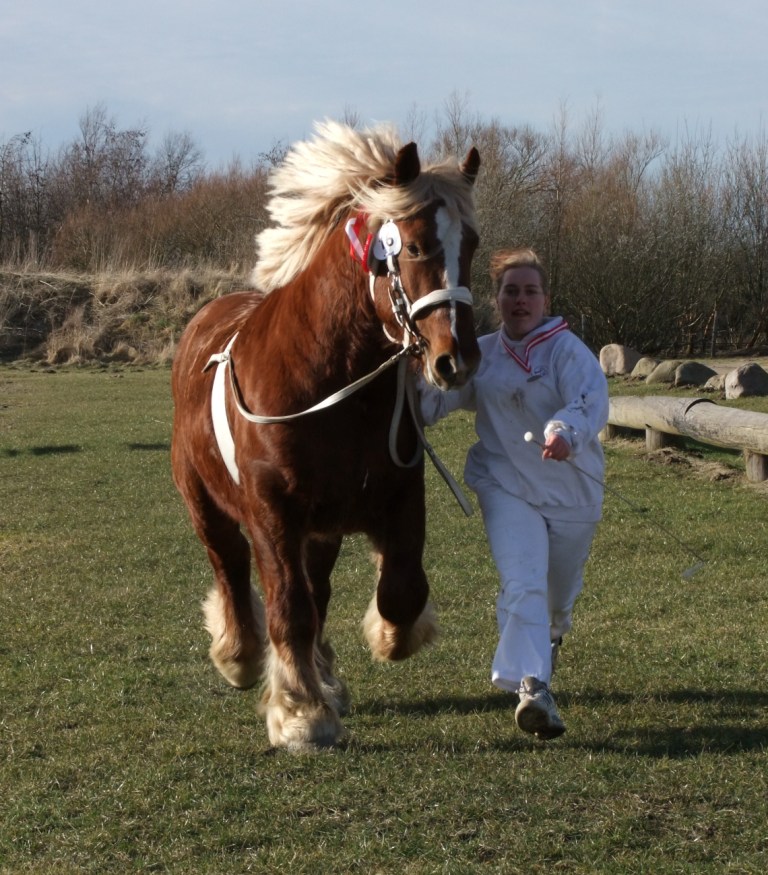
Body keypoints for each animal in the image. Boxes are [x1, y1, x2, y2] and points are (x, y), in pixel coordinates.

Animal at [172, 121, 480, 752]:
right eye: (415, 246)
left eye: (475, 245)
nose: (455, 360)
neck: (335, 383)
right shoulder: (273, 514)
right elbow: (288, 607)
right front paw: (300, 711)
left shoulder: (397, 497)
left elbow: (401, 589)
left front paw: (386, 639)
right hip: (206, 506)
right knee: (230, 568)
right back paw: (240, 655)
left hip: (322, 531)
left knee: (318, 590)